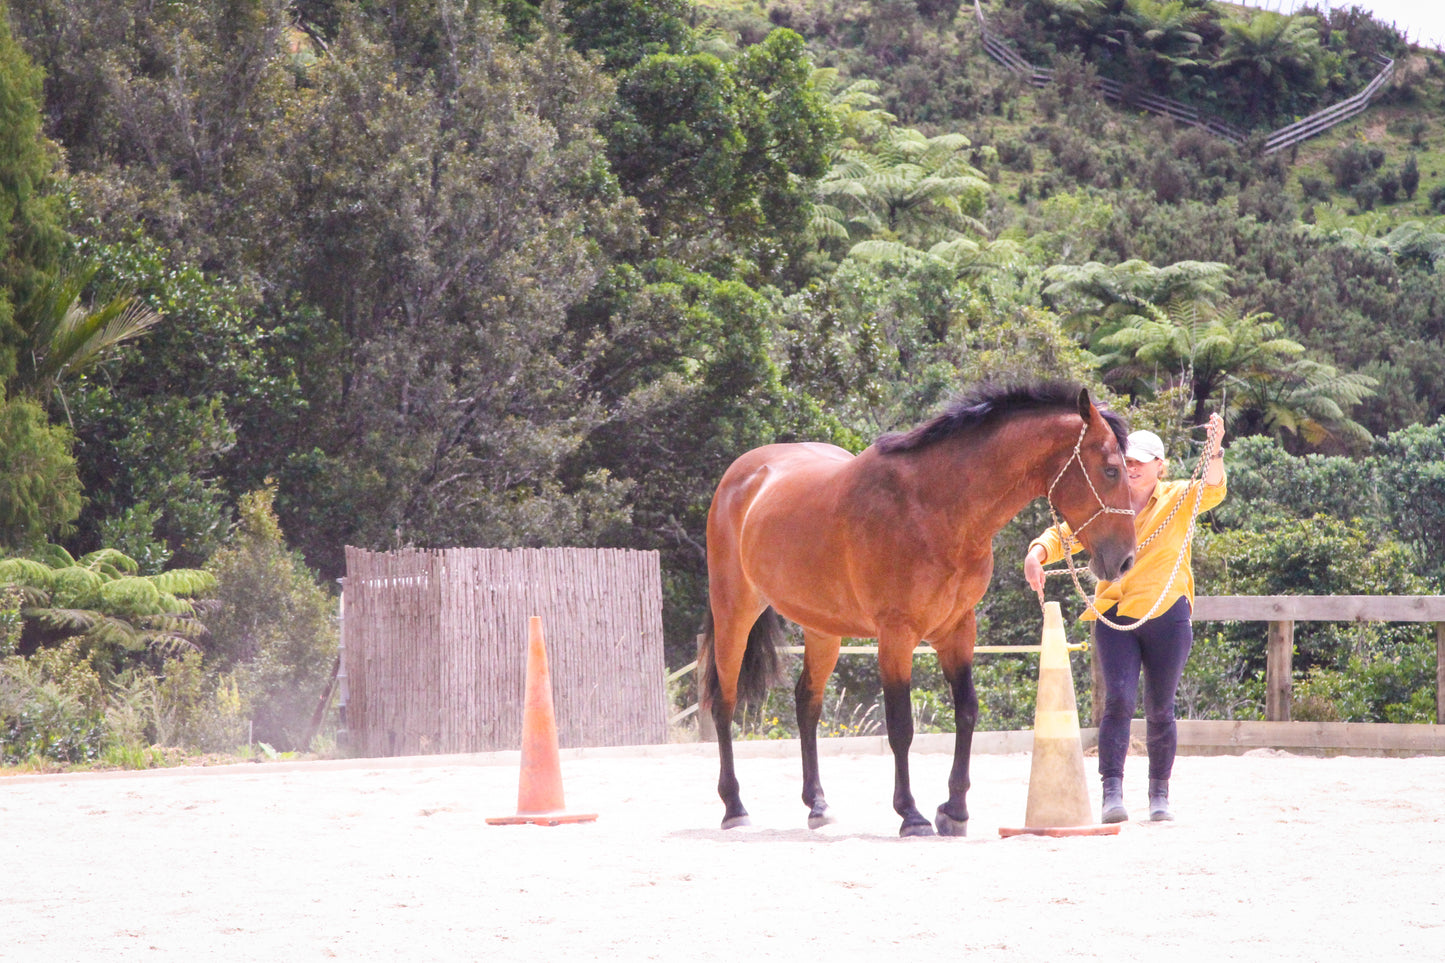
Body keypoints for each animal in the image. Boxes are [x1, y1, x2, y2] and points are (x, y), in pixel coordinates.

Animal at [702, 381, 1138, 832]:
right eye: (1111, 469)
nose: (1125, 560)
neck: (933, 507)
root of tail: (741, 477)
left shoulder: (958, 630)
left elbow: (967, 711)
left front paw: (954, 809)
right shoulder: (896, 635)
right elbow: (900, 725)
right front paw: (910, 813)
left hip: (822, 629)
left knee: (807, 703)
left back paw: (818, 805)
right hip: (735, 613)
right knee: (724, 703)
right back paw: (734, 807)